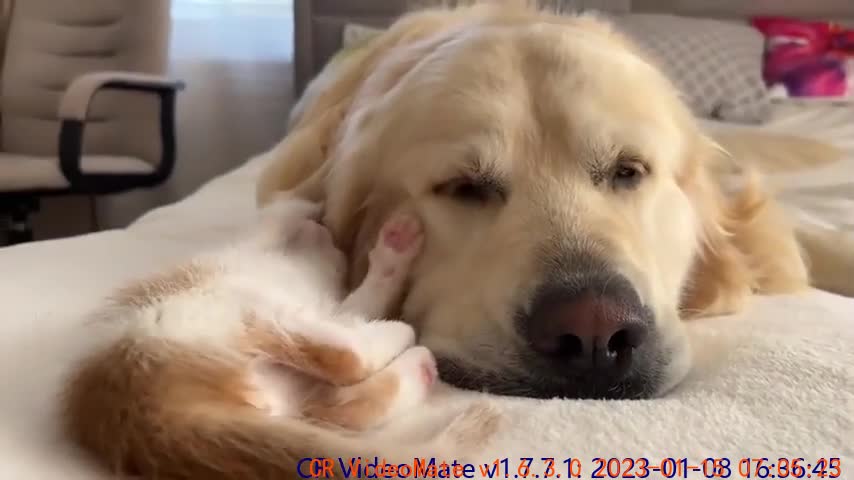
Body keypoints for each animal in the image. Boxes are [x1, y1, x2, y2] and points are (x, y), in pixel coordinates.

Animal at [63, 196, 498, 480]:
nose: (329, 236)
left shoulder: (332, 308)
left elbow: (357, 304)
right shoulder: (257, 251)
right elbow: (274, 217)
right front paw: (305, 208)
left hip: (265, 360)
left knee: (338, 403)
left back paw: (418, 362)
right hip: (223, 311)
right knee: (344, 361)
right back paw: (404, 337)